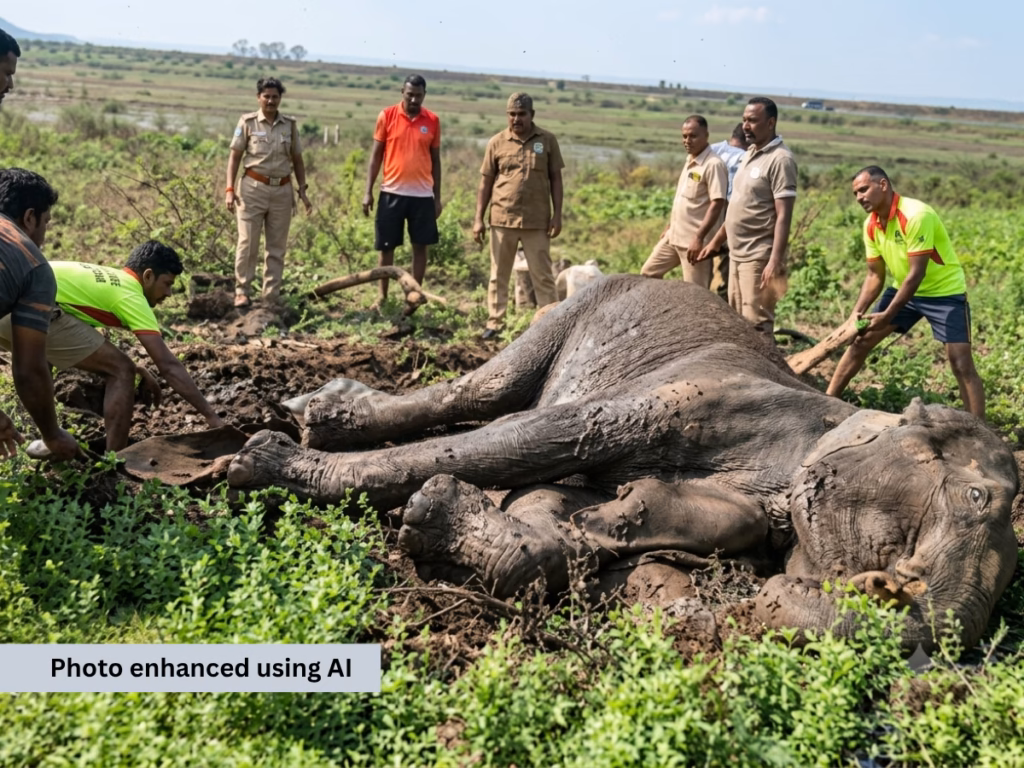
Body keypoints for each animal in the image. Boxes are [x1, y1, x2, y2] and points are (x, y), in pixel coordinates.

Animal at [227, 276, 1018, 651]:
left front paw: (452, 522)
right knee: (484, 393)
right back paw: (306, 424)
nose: (885, 586)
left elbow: (578, 514)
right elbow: (543, 437)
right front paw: (263, 467)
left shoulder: (744, 514)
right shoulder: (696, 401)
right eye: (977, 499)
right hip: (579, 308)